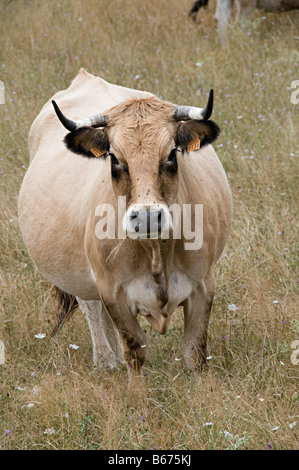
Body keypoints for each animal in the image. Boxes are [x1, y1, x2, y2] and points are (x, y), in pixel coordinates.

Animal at [18, 69, 234, 378]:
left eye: (171, 154)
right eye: (115, 159)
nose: (147, 216)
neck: (156, 253)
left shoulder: (203, 285)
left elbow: (195, 353)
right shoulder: (114, 292)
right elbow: (135, 349)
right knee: (92, 308)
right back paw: (107, 360)